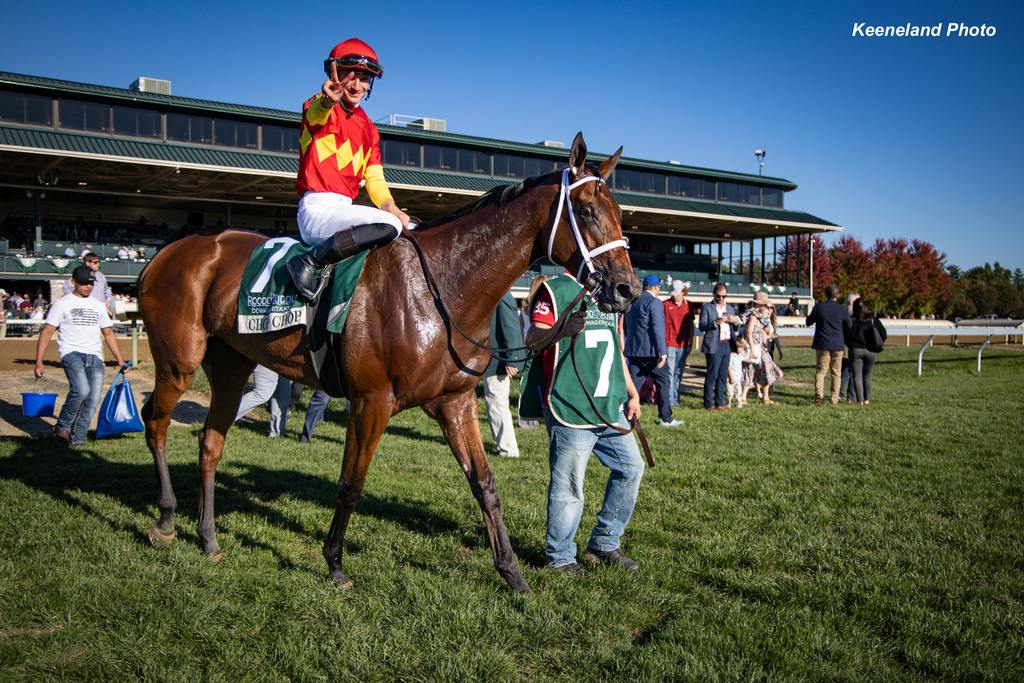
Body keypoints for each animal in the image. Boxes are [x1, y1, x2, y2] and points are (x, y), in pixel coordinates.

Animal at [140, 133, 634, 593]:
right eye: (587, 211)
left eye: (619, 212)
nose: (626, 288)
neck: (441, 287)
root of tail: (164, 253)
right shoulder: (371, 401)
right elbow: (351, 483)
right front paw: (335, 564)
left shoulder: (454, 401)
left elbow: (485, 484)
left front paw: (512, 574)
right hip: (179, 361)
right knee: (155, 422)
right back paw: (165, 520)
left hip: (230, 364)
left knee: (210, 441)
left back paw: (207, 538)